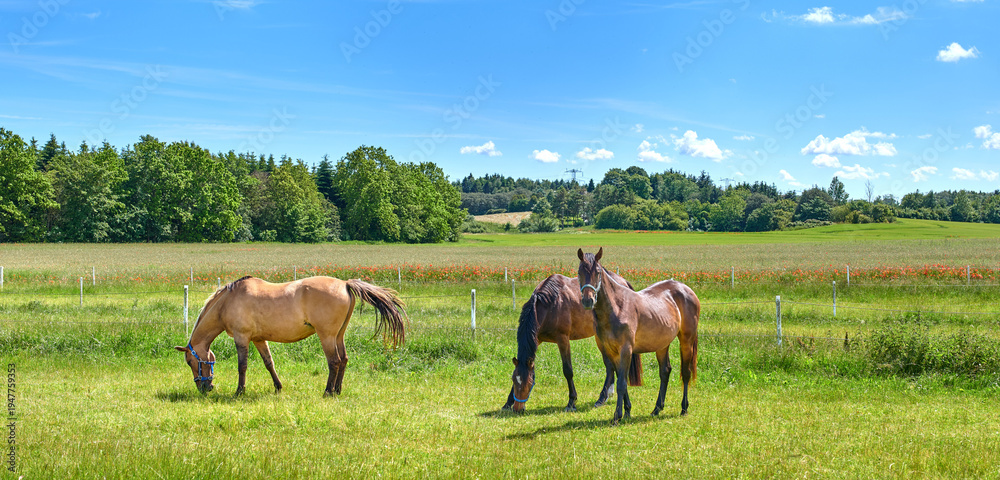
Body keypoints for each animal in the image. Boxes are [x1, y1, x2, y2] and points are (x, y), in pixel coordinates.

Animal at [173, 275, 406, 397]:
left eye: (190, 362)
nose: (204, 388)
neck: (228, 301)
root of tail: (345, 284)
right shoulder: (259, 339)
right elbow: (269, 363)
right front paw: (278, 387)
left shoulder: (242, 338)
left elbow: (242, 366)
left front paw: (239, 391)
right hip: (338, 335)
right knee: (344, 360)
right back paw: (337, 390)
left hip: (327, 336)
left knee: (334, 361)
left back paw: (327, 391)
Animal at [504, 272, 643, 413]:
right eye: (514, 380)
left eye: (529, 383)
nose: (518, 409)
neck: (550, 304)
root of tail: (623, 282)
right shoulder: (536, 339)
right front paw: (508, 403)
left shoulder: (563, 339)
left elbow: (568, 370)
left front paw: (571, 401)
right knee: (610, 366)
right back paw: (605, 396)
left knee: (610, 367)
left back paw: (602, 397)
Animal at [576, 247, 700, 424]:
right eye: (579, 272)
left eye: (598, 272)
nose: (588, 300)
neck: (617, 307)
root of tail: (686, 289)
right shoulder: (612, 351)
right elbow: (621, 379)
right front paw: (627, 411)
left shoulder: (626, 350)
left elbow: (621, 383)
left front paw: (617, 416)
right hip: (662, 345)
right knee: (665, 371)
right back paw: (657, 409)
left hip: (686, 341)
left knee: (686, 372)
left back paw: (684, 408)